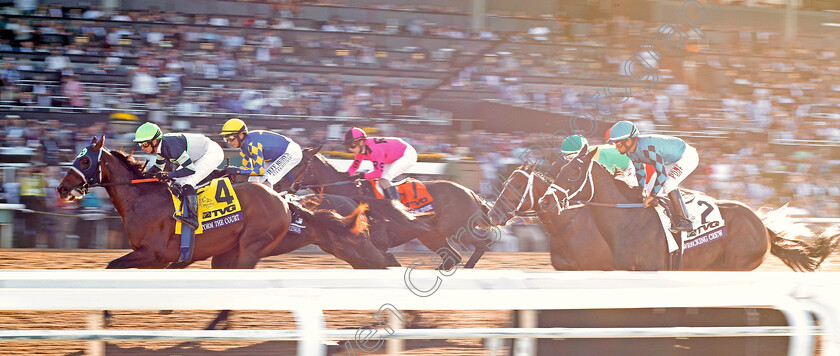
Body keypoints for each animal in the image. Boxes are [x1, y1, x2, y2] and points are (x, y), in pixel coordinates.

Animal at [278, 146, 496, 268]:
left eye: (299, 163)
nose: (278, 185)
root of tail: (472, 194)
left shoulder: (376, 244)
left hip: (458, 229)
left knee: (483, 244)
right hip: (432, 236)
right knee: (453, 257)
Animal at [540, 146, 840, 272]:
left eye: (573, 173)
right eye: (557, 170)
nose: (545, 202)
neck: (627, 219)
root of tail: (762, 226)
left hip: (736, 265)